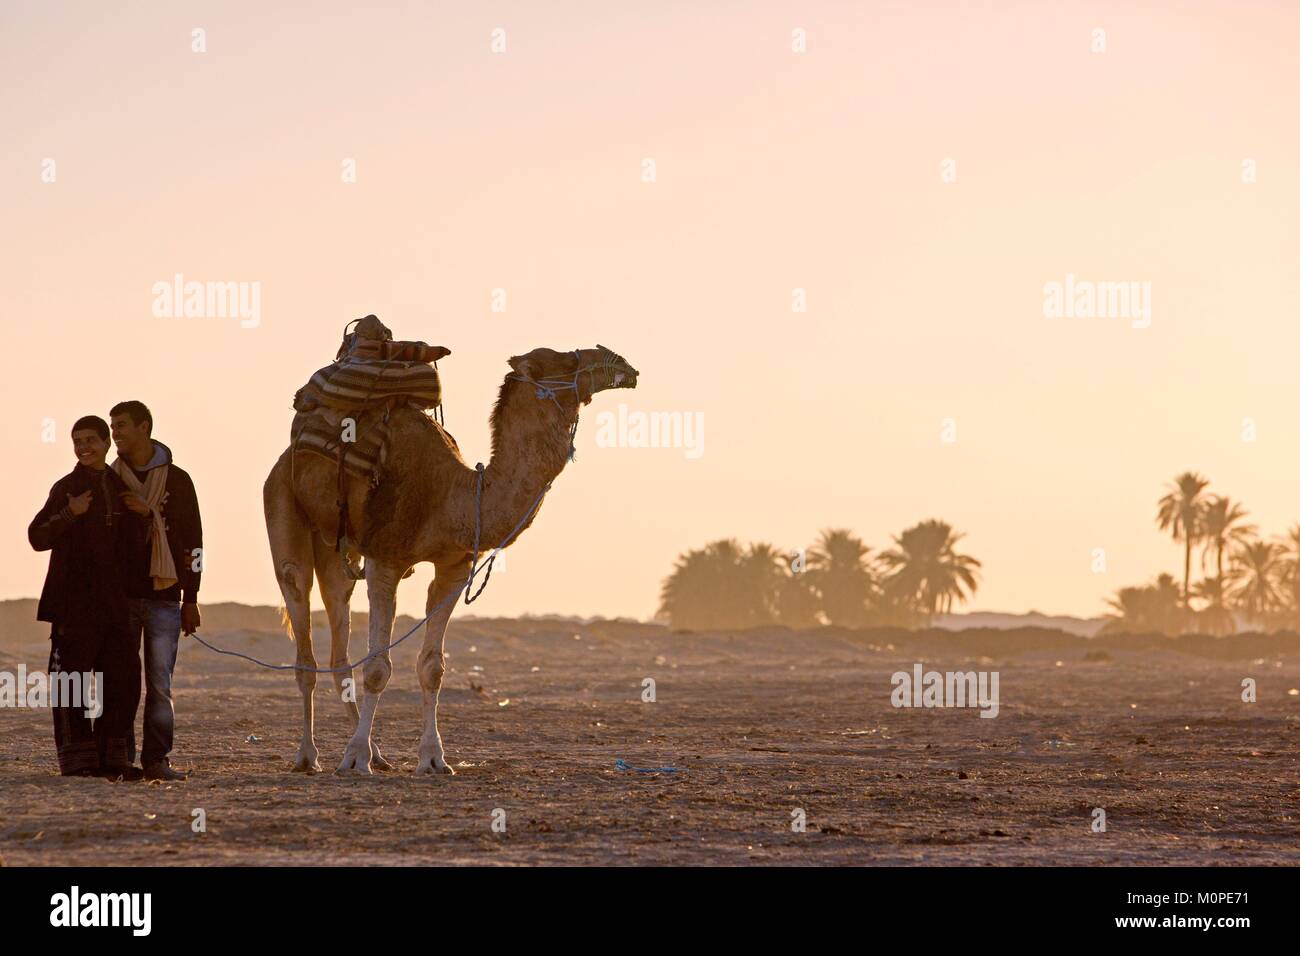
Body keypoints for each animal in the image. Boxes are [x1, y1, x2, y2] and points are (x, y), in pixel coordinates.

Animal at [261, 348, 637, 775]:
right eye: (563, 360)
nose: (621, 364)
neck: (452, 496)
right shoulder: (386, 560)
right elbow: (377, 669)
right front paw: (356, 758)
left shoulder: (453, 568)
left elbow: (432, 668)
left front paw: (433, 759)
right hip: (283, 507)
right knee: (301, 625)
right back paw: (309, 756)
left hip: (335, 550)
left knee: (338, 640)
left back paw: (377, 753)